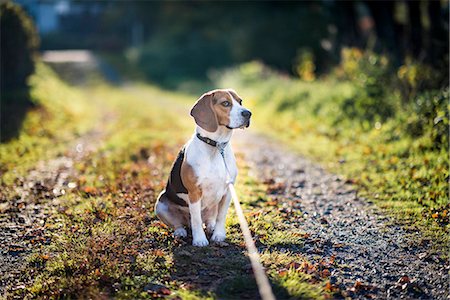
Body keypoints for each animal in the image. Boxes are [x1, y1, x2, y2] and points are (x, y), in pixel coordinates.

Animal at [155, 88, 251, 246]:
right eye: (225, 103)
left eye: (240, 101)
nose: (248, 113)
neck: (217, 146)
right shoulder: (194, 192)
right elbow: (196, 219)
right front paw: (199, 239)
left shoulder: (228, 192)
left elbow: (221, 217)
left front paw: (219, 235)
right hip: (160, 204)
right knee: (180, 223)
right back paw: (180, 232)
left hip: (213, 206)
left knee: (209, 219)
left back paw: (211, 227)